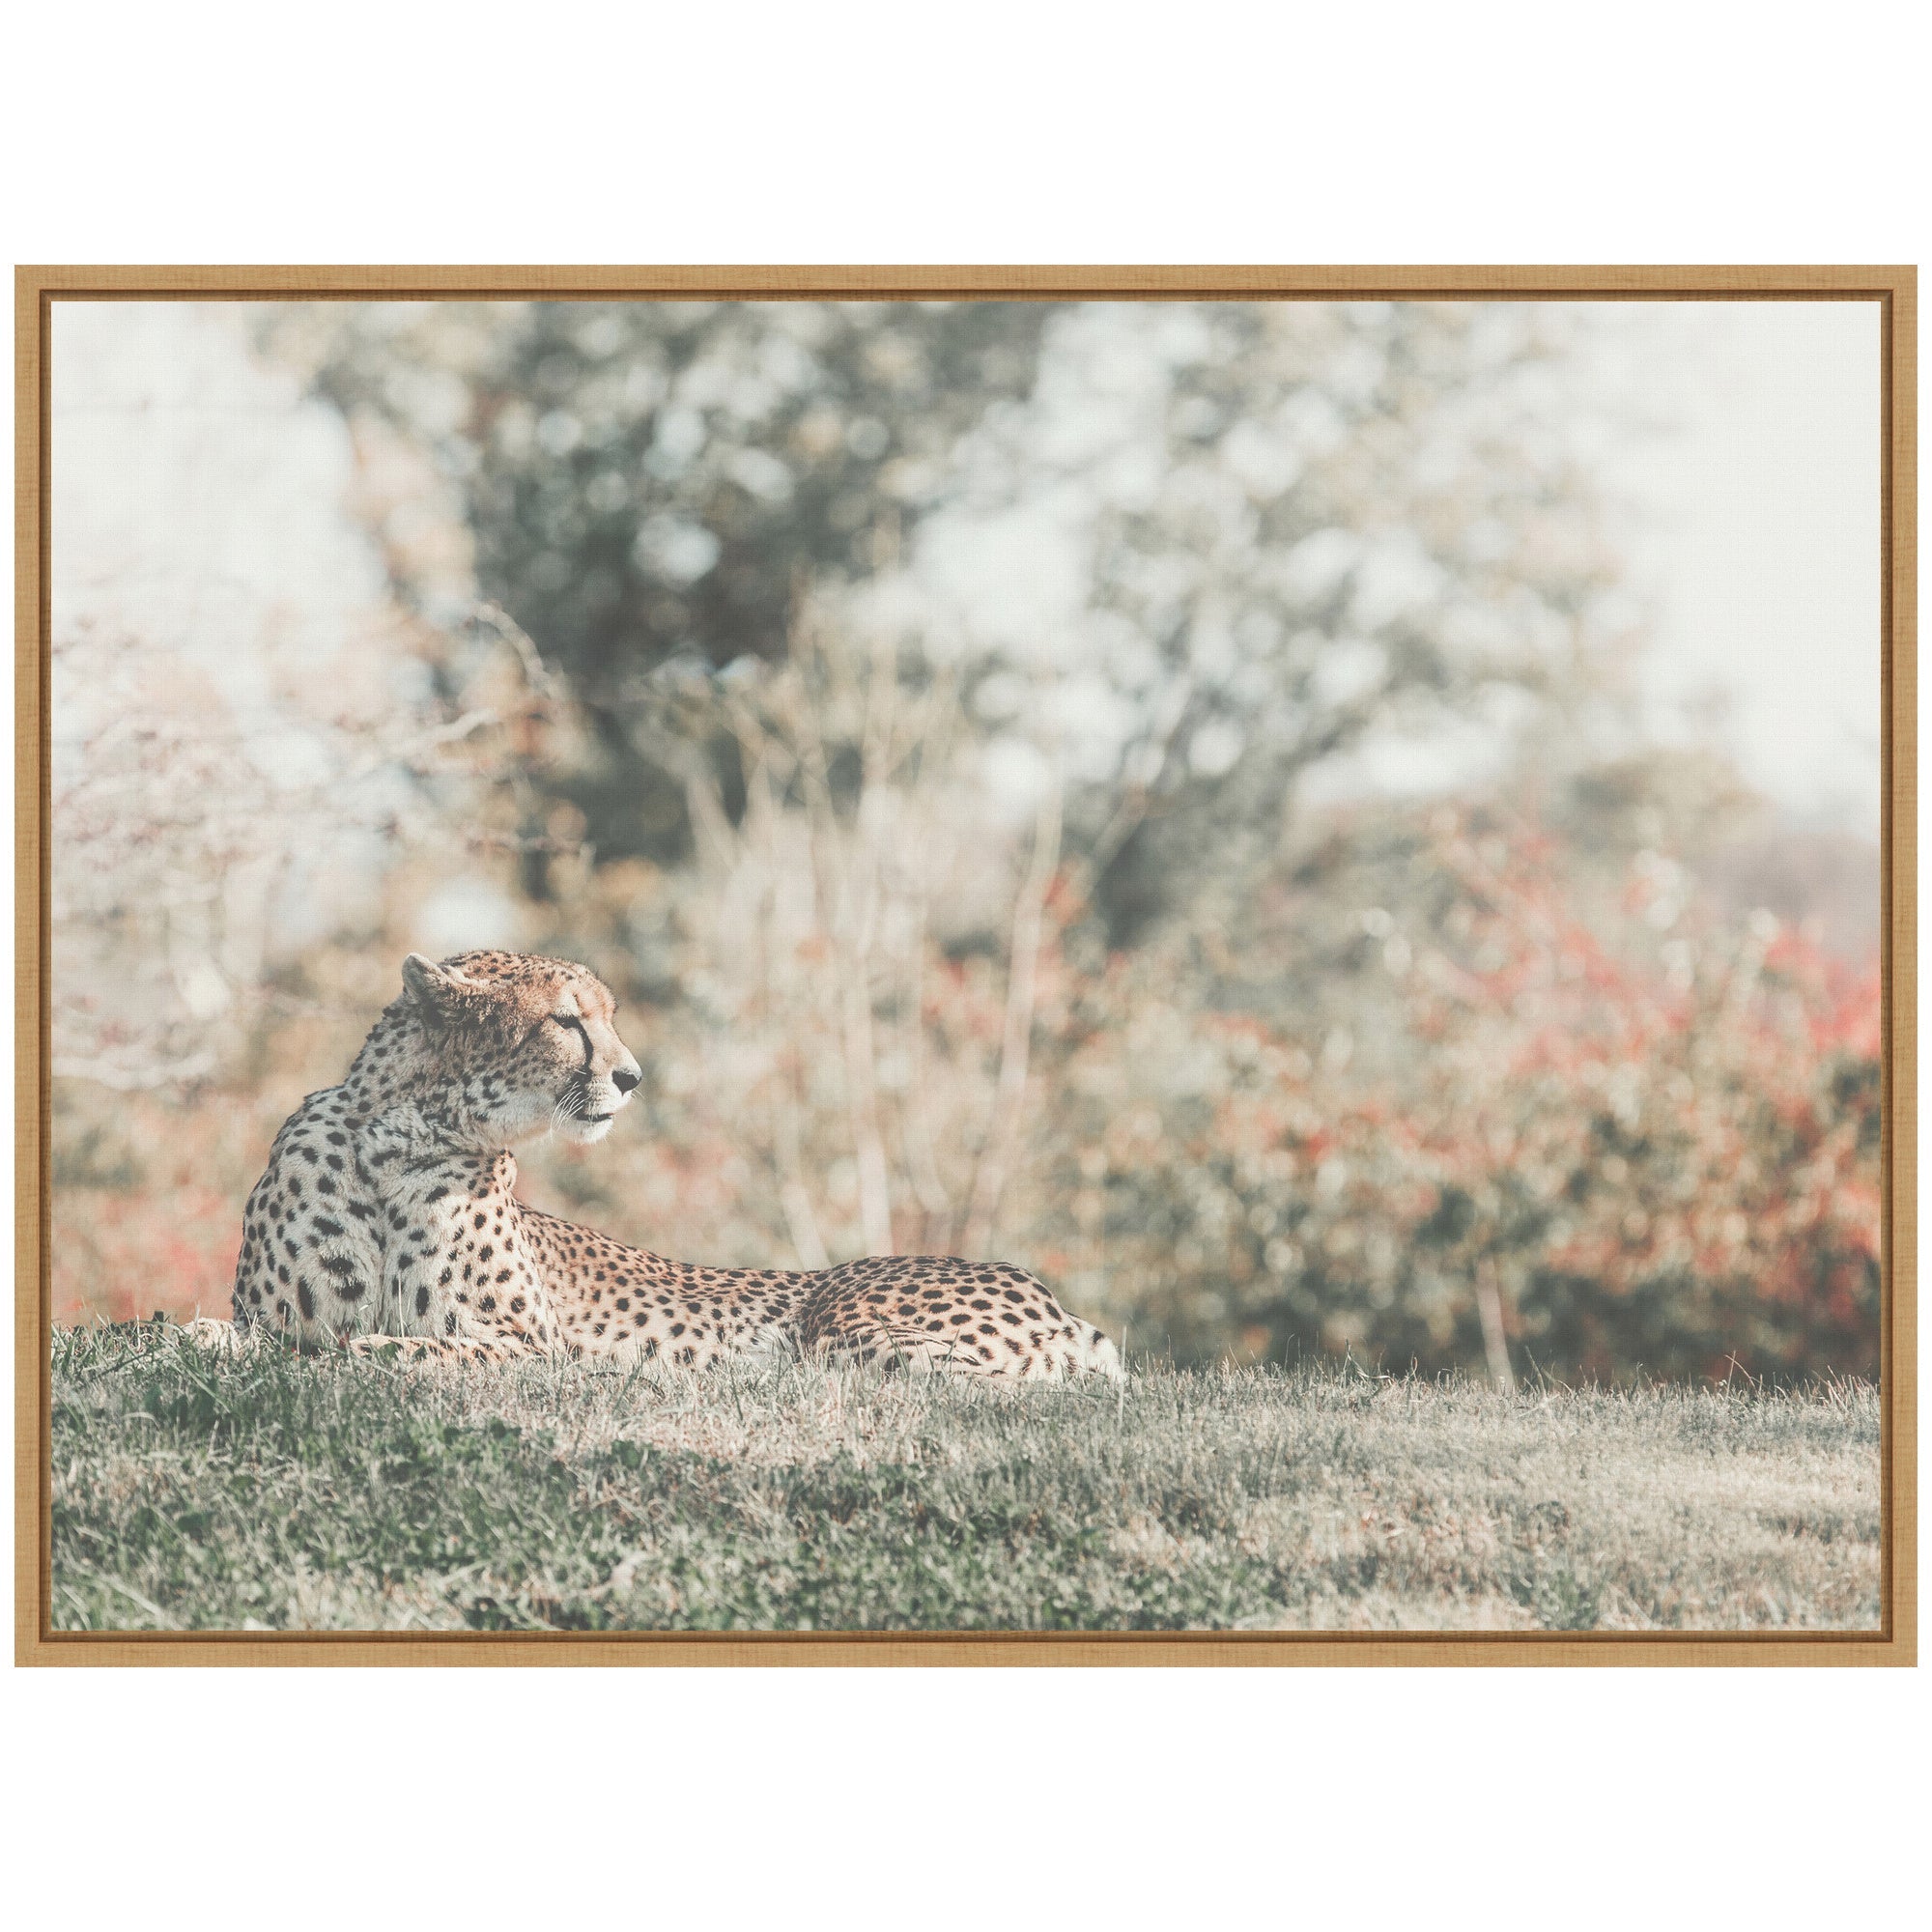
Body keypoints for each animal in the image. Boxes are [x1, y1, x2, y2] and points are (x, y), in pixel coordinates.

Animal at [231, 949, 1124, 1382]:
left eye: (609, 1018)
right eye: (567, 1021)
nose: (632, 1077)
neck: (399, 1139)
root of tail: (1052, 1297)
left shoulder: (530, 1347)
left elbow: (379, 1348)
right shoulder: (267, 1318)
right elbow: (268, 1338)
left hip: (846, 1325)